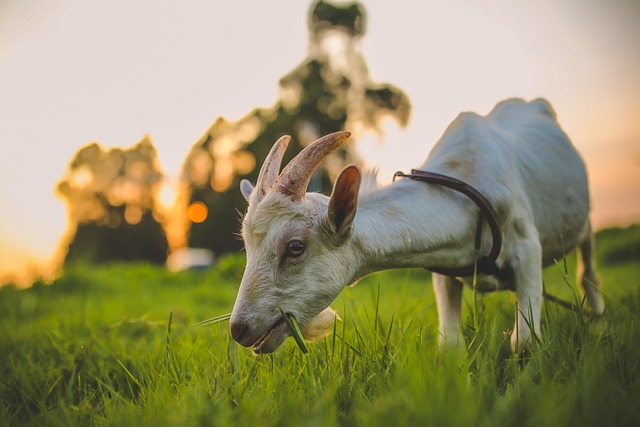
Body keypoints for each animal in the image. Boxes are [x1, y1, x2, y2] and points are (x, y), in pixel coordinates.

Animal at [229, 98, 605, 354]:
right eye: (247, 247)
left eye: (295, 247)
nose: (239, 329)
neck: (465, 182)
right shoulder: (445, 267)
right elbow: (450, 344)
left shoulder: (527, 250)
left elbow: (524, 341)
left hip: (584, 220)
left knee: (587, 262)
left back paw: (597, 312)